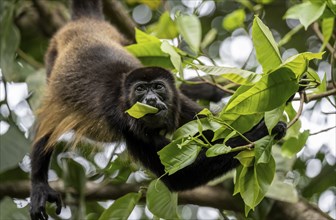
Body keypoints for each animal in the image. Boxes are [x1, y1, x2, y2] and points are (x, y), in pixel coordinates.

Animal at [29, 0, 286, 219]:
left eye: (158, 87)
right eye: (141, 90)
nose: (151, 99)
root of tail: (84, 23)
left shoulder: (180, 105)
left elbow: (216, 134)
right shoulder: (120, 117)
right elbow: (177, 175)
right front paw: (261, 132)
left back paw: (206, 88)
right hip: (52, 61)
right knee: (48, 125)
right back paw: (39, 184)